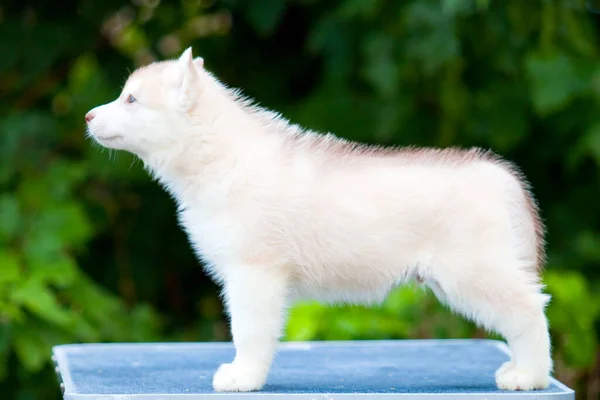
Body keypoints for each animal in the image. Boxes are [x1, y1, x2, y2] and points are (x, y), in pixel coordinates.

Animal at [85, 48, 552, 392]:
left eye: (131, 99)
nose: (87, 116)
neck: (217, 155)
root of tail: (500, 175)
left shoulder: (255, 274)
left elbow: (248, 331)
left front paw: (243, 377)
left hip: (473, 271)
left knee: (530, 311)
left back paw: (529, 375)